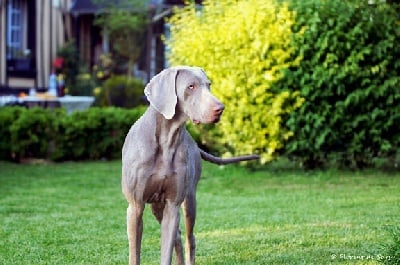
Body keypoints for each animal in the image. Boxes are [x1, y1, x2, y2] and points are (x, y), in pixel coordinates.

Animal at [122, 65, 260, 264]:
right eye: (191, 86)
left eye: (209, 85)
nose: (220, 109)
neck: (166, 141)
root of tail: (194, 143)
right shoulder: (135, 206)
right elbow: (135, 253)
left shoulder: (173, 205)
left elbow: (167, 251)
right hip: (157, 206)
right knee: (178, 238)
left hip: (189, 200)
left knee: (188, 238)